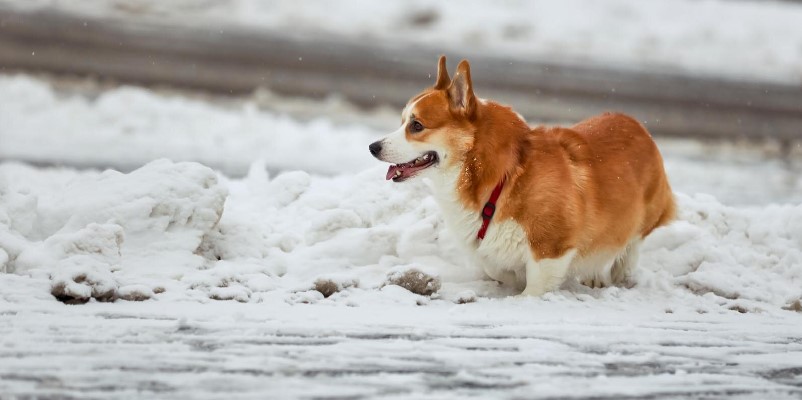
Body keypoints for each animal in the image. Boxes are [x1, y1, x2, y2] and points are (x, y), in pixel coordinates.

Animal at [368, 56, 676, 296]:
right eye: (403, 122)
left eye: (417, 126)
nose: (373, 147)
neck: (500, 176)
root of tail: (637, 124)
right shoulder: (488, 245)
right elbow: (496, 265)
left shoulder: (551, 247)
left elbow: (535, 286)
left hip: (642, 218)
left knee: (628, 247)